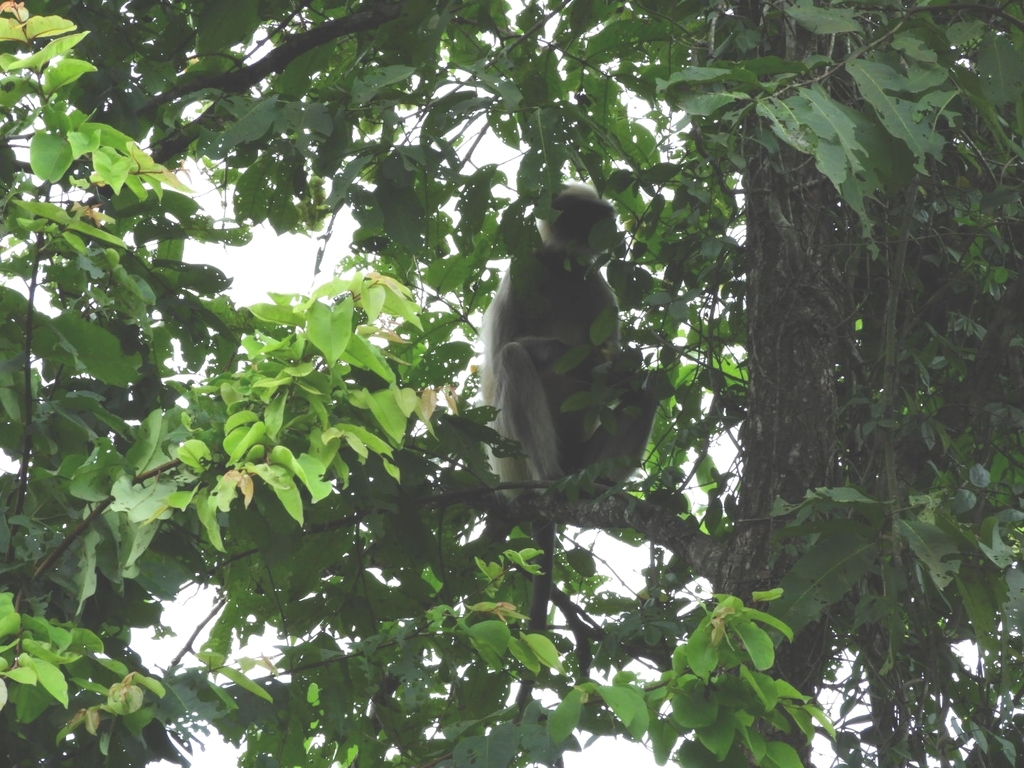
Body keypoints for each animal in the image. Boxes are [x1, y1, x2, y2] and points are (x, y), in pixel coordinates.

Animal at [477, 183, 655, 696]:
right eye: (587, 216)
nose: (610, 227)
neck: (561, 268)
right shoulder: (521, 271)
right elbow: (501, 355)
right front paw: (571, 356)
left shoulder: (596, 285)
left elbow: (622, 367)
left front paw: (616, 365)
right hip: (516, 463)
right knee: (512, 358)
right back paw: (552, 481)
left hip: (587, 454)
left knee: (647, 386)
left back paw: (597, 485)